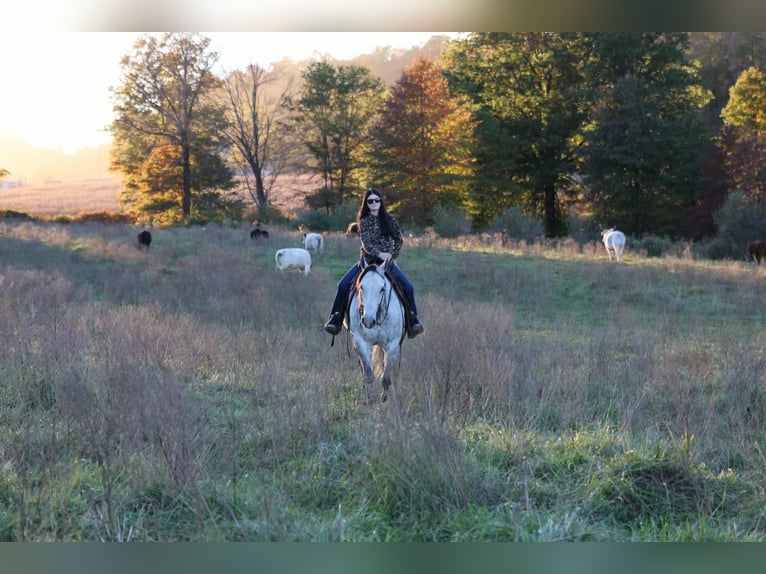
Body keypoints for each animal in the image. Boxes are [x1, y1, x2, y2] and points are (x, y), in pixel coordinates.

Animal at [346, 263, 406, 404]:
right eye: (361, 287)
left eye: (382, 289)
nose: (368, 321)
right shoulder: (361, 343)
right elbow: (368, 375)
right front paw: (369, 401)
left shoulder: (392, 345)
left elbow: (386, 376)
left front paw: (384, 399)